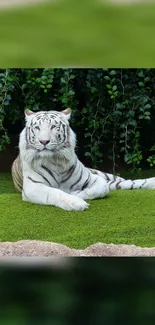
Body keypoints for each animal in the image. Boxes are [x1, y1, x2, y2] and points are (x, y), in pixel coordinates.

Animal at [11, 107, 155, 211]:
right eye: (37, 128)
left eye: (53, 127)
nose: (44, 141)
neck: (56, 160)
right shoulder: (33, 186)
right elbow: (55, 192)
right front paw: (75, 202)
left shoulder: (93, 178)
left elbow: (101, 188)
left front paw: (76, 193)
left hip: (105, 175)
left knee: (127, 182)